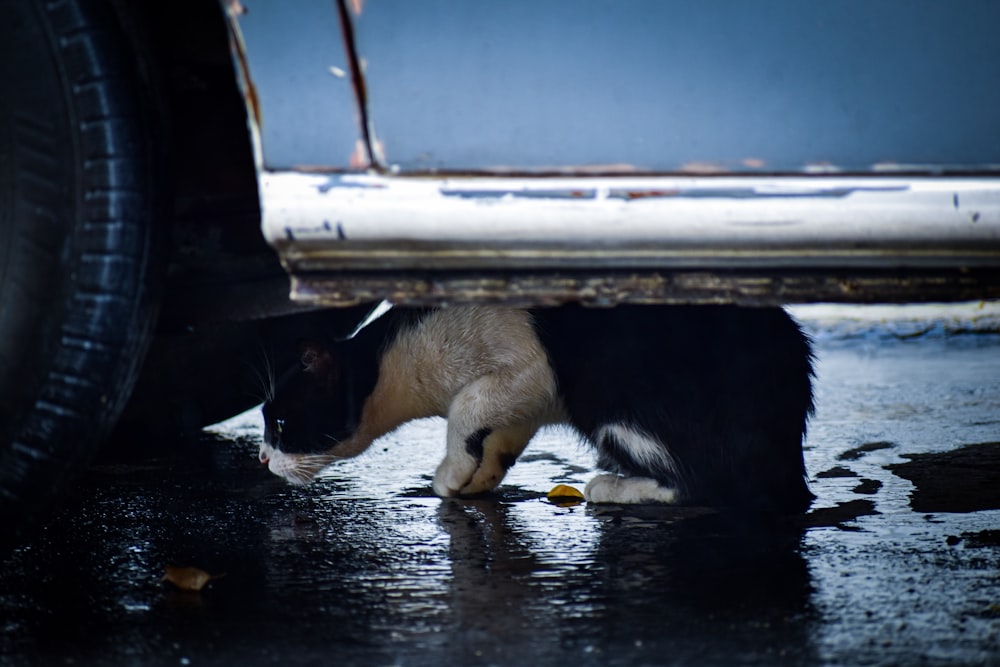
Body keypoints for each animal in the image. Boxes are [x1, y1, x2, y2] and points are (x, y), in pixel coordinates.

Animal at [258, 306, 812, 516]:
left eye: (281, 424)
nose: (262, 458)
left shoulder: (532, 366)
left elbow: (465, 407)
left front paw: (449, 474)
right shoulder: (527, 396)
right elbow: (499, 433)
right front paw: (477, 475)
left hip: (604, 394)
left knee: (707, 484)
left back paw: (610, 485)